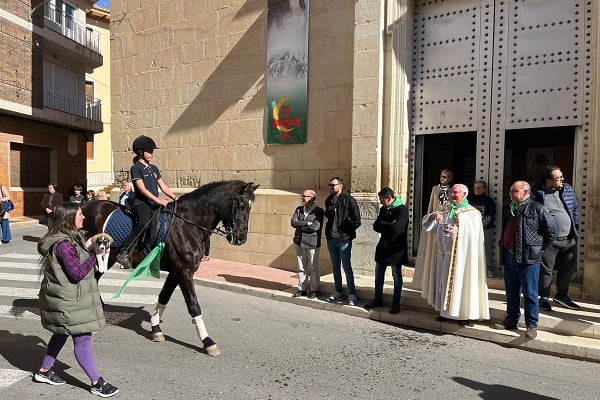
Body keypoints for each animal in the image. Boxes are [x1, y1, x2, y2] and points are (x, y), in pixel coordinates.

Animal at [81, 181, 258, 356]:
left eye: (250, 207)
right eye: (241, 205)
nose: (241, 238)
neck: (187, 223)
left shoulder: (176, 271)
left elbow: (164, 297)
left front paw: (156, 328)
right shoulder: (184, 271)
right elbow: (194, 305)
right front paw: (207, 341)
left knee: (95, 278)